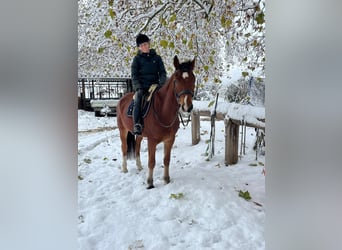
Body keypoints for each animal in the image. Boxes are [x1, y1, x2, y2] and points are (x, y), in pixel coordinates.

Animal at [117, 55, 195, 188]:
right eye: (176, 80)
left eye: (193, 79)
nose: (187, 106)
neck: (162, 110)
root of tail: (122, 98)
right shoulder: (152, 141)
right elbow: (152, 162)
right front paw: (150, 182)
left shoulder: (170, 139)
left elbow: (166, 160)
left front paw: (166, 179)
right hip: (122, 130)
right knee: (124, 147)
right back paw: (124, 168)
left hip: (139, 134)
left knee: (137, 146)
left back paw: (139, 166)